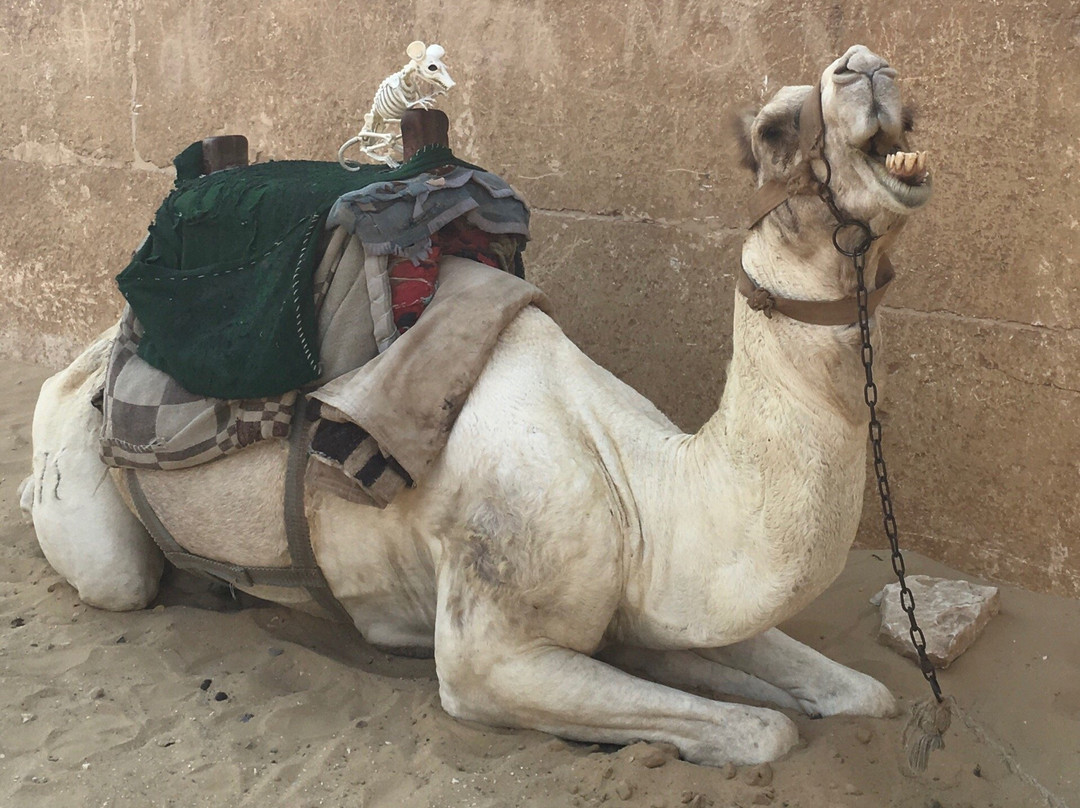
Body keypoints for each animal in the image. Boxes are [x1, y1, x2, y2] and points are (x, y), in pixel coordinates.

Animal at [23, 47, 937, 769]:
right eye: (777, 129)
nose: (867, 67)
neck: (640, 489)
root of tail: (95, 351)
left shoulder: (663, 595)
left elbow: (864, 693)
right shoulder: (487, 653)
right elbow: (763, 731)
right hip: (86, 493)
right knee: (114, 572)